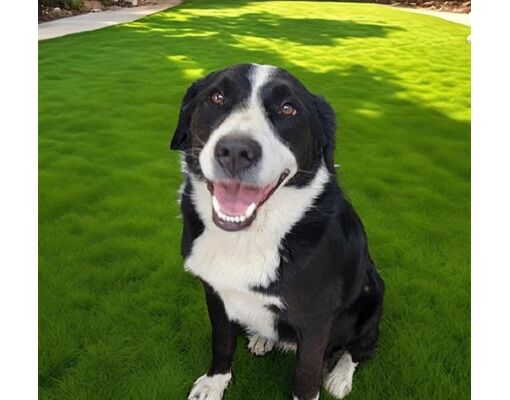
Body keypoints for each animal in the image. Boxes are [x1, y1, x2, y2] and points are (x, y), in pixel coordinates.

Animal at [169, 64, 384, 398]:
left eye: (288, 108)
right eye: (216, 97)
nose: (235, 151)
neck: (249, 237)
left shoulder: (316, 319)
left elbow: (306, 374)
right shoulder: (215, 293)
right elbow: (222, 342)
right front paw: (214, 382)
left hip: (373, 296)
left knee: (360, 348)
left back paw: (340, 376)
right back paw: (263, 338)